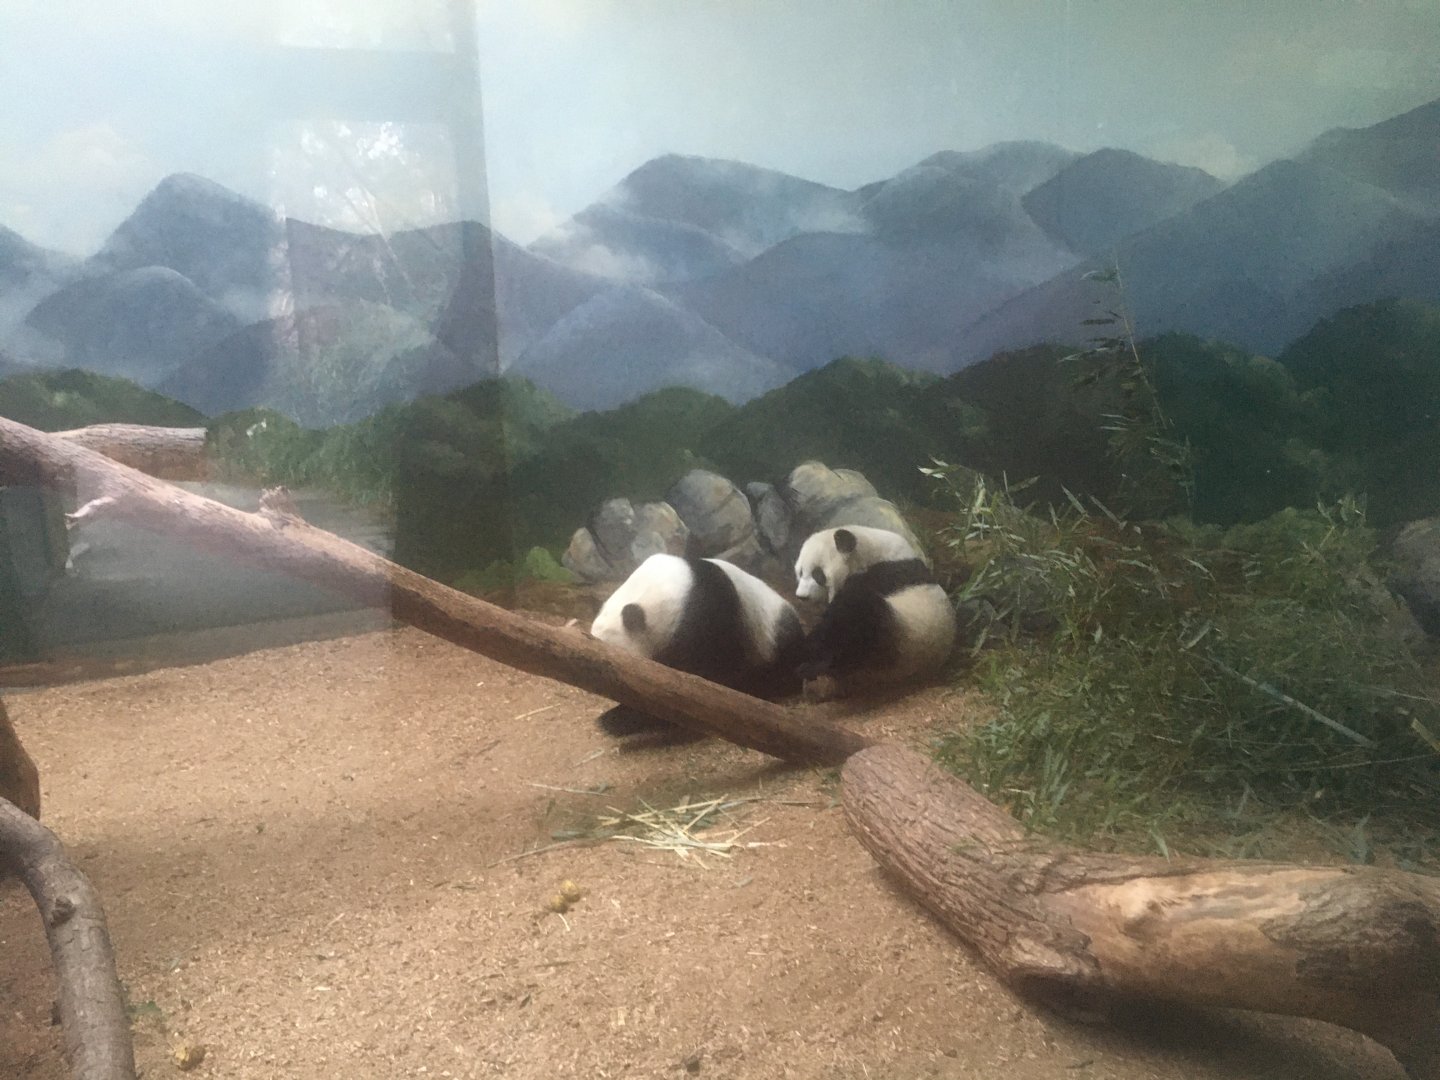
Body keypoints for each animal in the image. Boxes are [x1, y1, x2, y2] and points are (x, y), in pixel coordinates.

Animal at [793, 527, 956, 696]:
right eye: (800, 572)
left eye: (817, 574)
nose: (802, 596)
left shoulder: (880, 574)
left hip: (901, 639)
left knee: (859, 622)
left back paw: (815, 665)